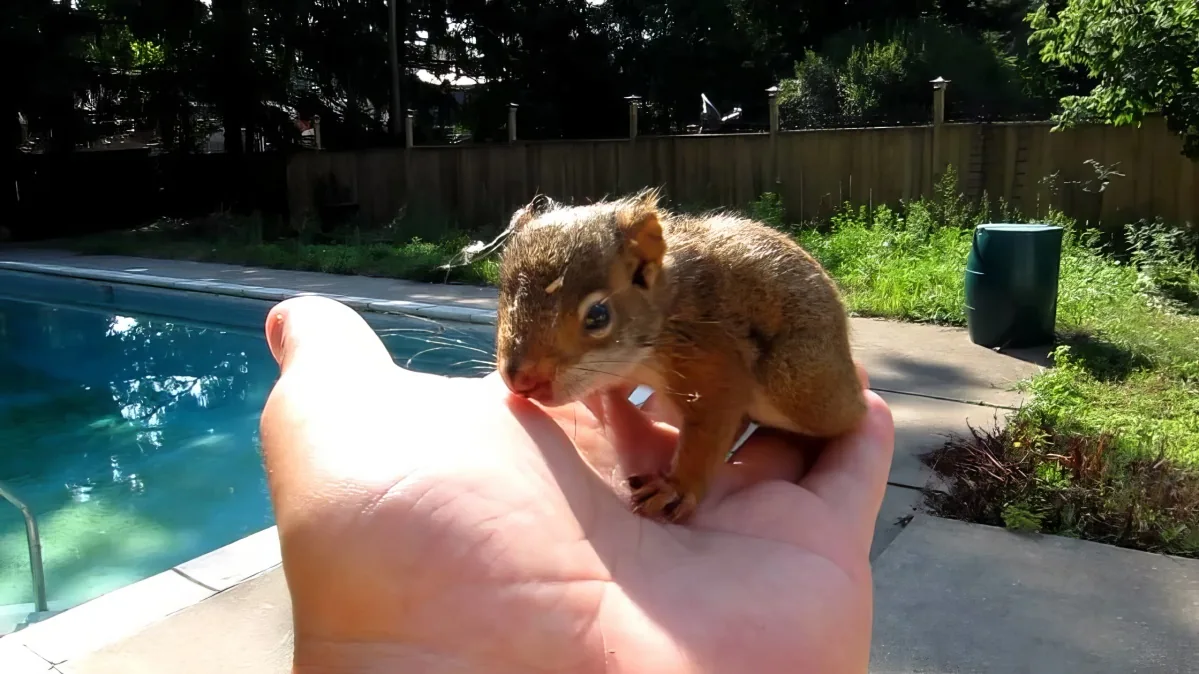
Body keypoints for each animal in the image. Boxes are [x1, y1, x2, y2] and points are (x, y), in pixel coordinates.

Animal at [494, 188, 867, 524]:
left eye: (598, 316)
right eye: (502, 296)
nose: (521, 379)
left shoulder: (714, 362)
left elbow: (708, 433)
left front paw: (674, 488)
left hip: (799, 385)